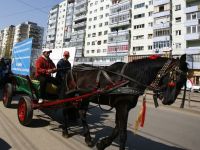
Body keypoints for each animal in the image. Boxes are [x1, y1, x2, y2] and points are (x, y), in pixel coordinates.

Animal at [60, 54, 188, 149]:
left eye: (184, 81)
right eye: (175, 77)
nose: (169, 100)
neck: (130, 78)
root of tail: (70, 69)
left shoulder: (121, 107)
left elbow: (117, 128)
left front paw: (103, 143)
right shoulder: (122, 107)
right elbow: (122, 134)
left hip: (85, 97)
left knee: (82, 113)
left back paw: (88, 138)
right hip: (69, 95)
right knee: (65, 110)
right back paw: (65, 131)